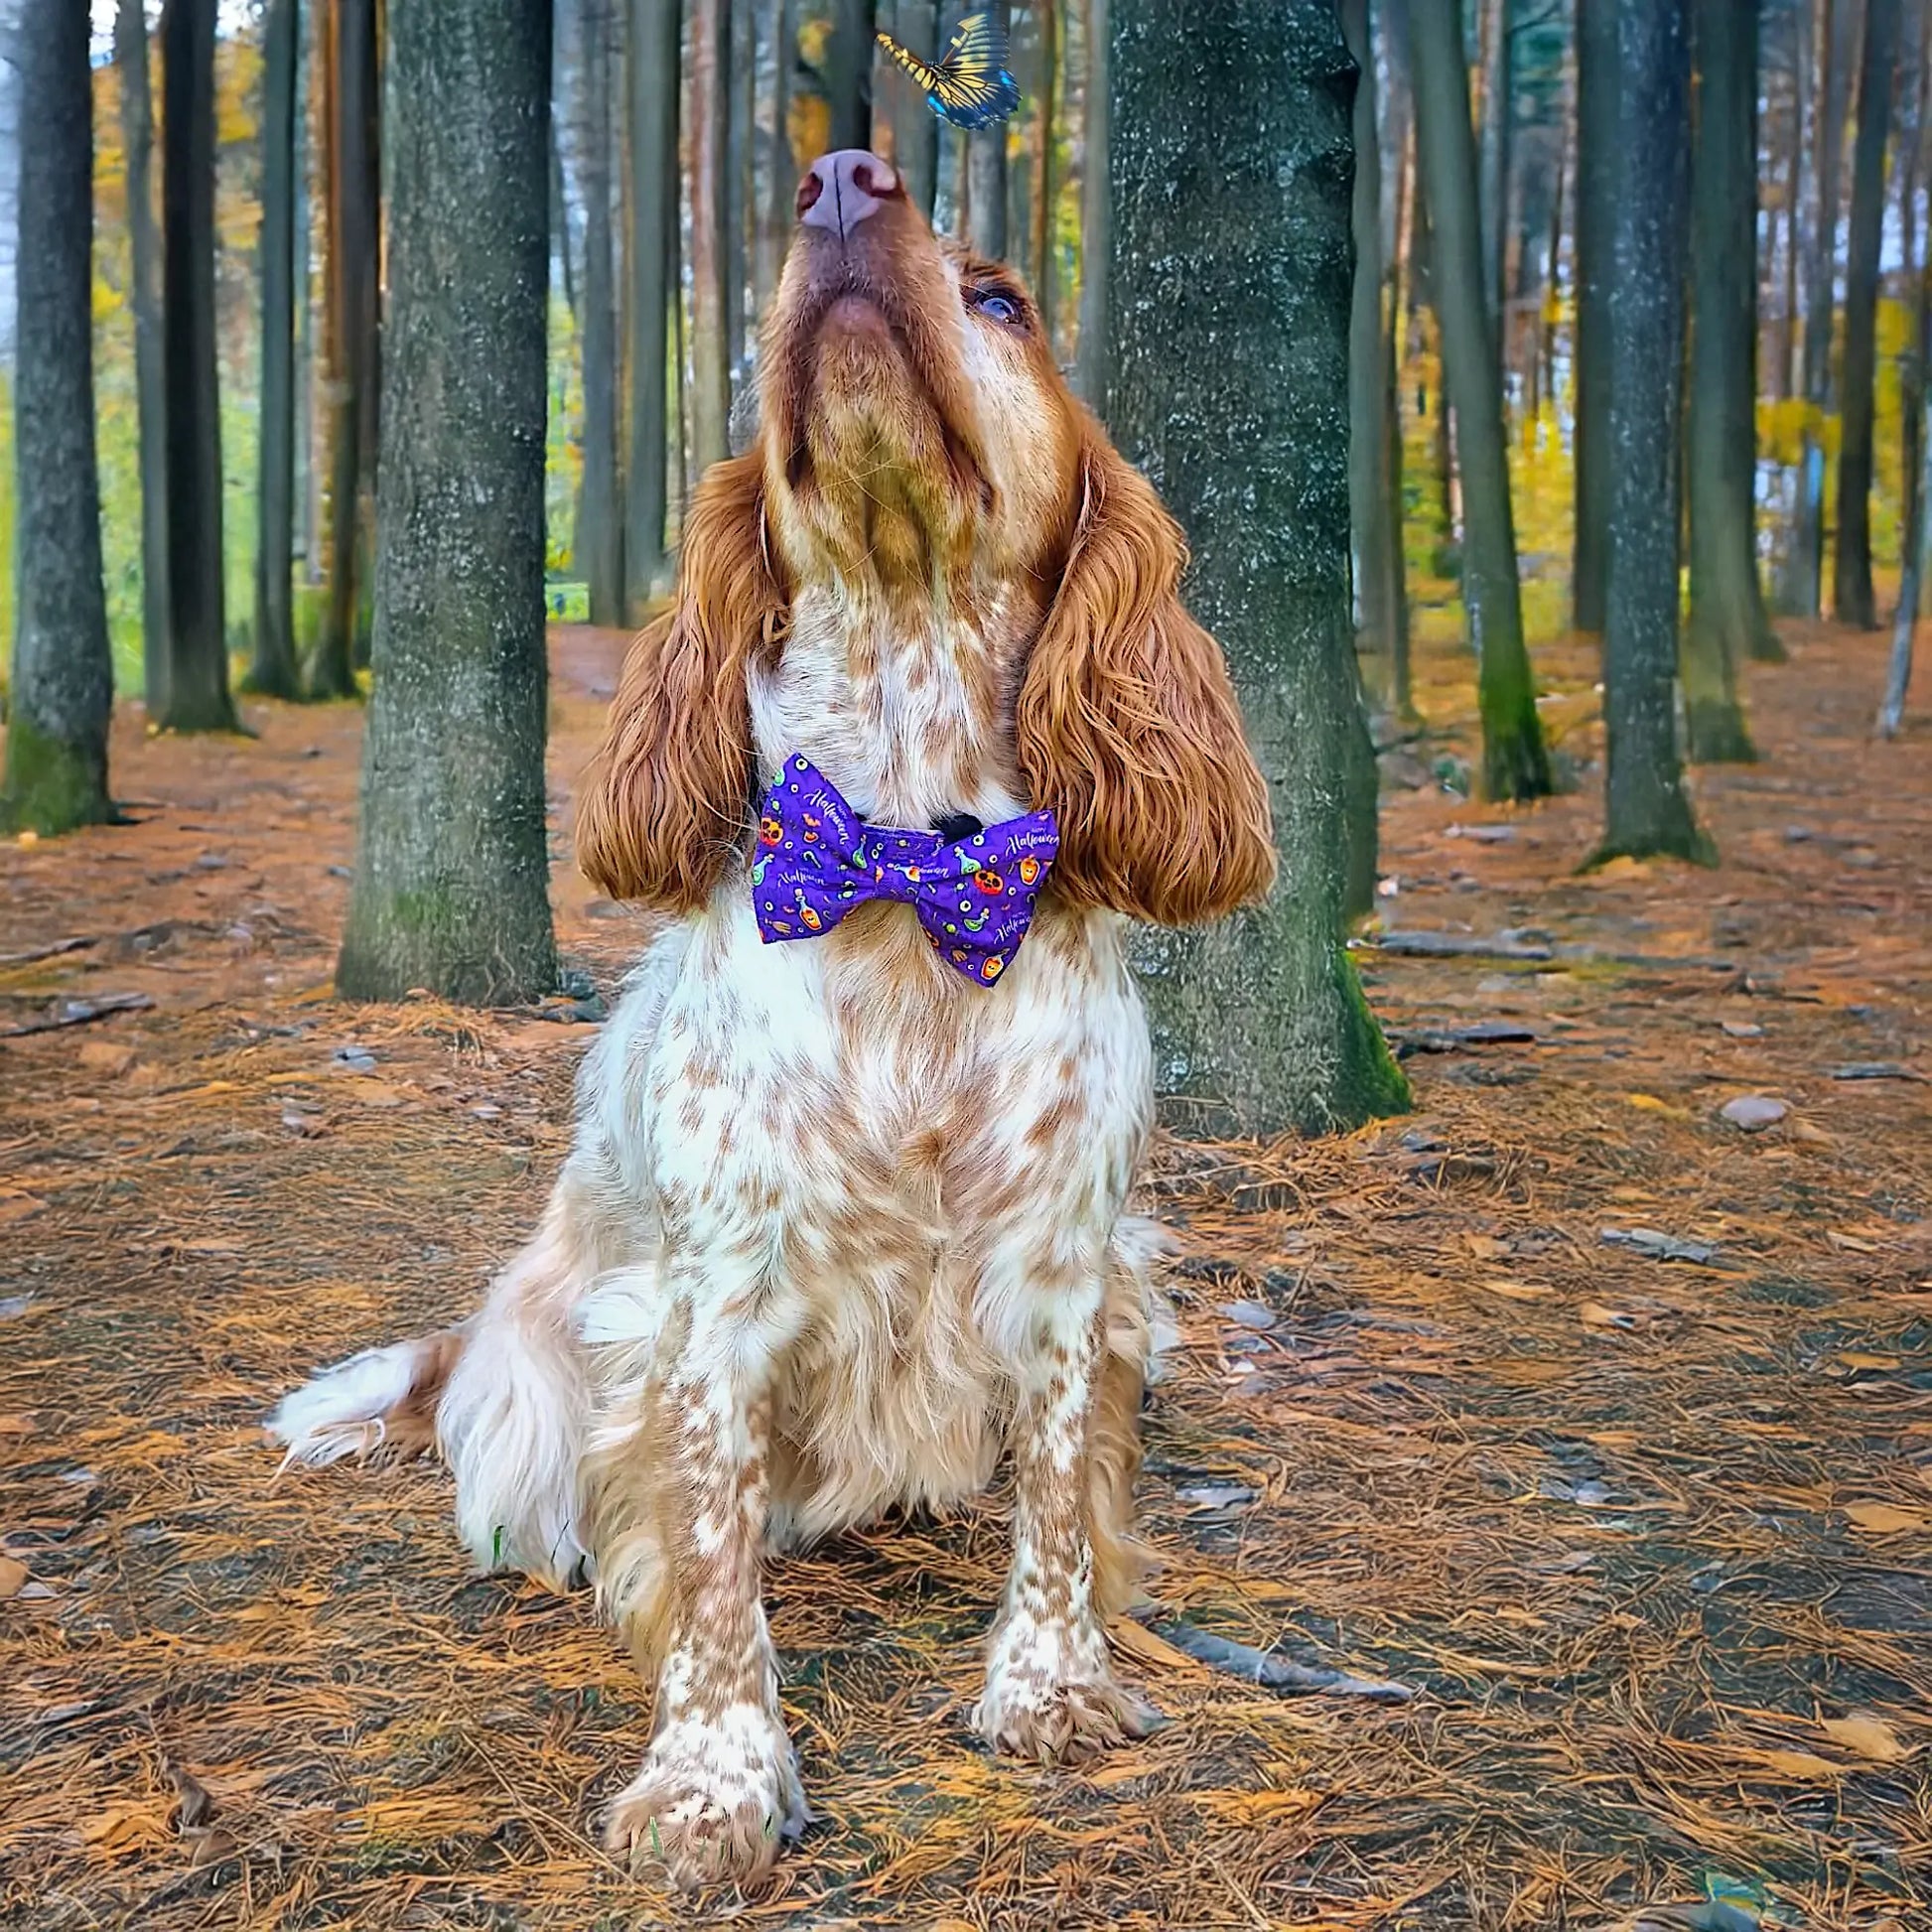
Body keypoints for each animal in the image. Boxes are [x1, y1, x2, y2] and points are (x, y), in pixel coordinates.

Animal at [268, 146, 1267, 1885]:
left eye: (1003, 296)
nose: (843, 176)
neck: (905, 867)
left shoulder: (1074, 1267)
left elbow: (1063, 1511)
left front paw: (1048, 1685)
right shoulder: (706, 1307)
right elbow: (712, 1571)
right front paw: (713, 1782)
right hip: (543, 1379)